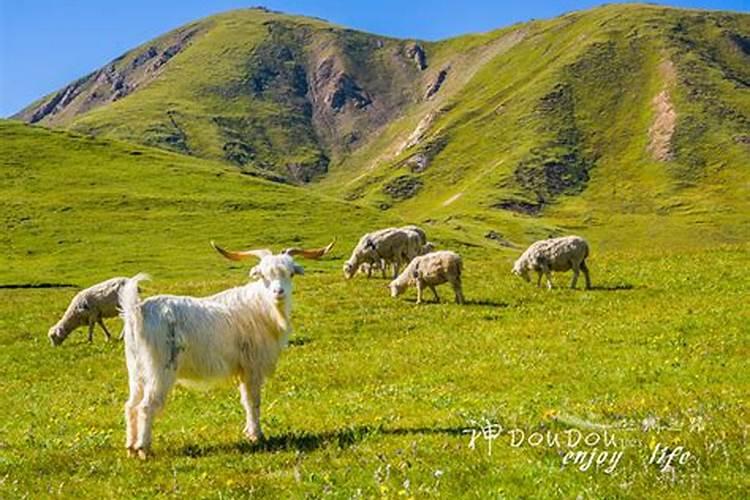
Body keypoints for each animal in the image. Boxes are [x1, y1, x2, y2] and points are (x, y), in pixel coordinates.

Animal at [119, 240, 334, 458]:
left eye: (290, 273)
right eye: (263, 275)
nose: (278, 292)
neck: (262, 308)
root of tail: (137, 311)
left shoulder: (243, 369)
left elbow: (245, 400)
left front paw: (250, 433)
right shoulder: (252, 366)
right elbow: (253, 400)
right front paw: (257, 435)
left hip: (136, 369)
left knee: (131, 405)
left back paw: (130, 447)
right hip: (161, 369)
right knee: (146, 406)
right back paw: (143, 449)